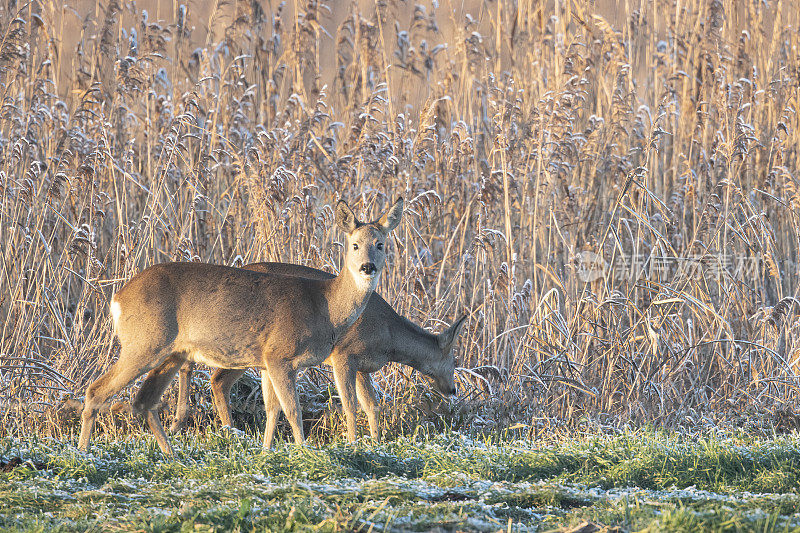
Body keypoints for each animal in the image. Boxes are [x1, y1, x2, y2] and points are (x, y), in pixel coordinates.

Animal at [78, 197, 404, 456]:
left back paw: (171, 454)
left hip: (171, 352)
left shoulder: (268, 362)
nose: (367, 267)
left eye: (380, 244)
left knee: (144, 401)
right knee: (96, 390)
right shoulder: (279, 355)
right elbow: (292, 410)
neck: (324, 305)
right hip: (144, 343)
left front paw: (266, 452)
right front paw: (304, 453)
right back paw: (84, 452)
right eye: (354, 244)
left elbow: (273, 408)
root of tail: (117, 298)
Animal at [170, 260, 468, 440]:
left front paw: (377, 441)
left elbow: (372, 405)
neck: (389, 334)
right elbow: (351, 404)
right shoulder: (344, 355)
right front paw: (355, 443)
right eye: (454, 359)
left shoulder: (363, 366)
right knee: (216, 377)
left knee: (215, 379)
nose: (453, 390)